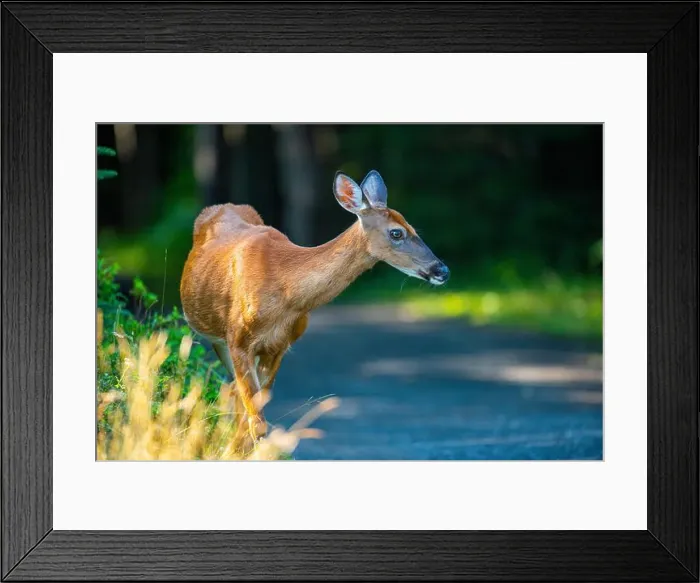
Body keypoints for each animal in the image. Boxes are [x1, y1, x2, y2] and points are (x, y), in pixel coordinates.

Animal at [180, 170, 450, 442]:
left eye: (413, 228)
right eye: (396, 233)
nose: (442, 270)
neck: (285, 288)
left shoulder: (280, 346)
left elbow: (257, 415)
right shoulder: (238, 340)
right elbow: (256, 421)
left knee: (234, 395)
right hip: (218, 338)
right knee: (233, 394)